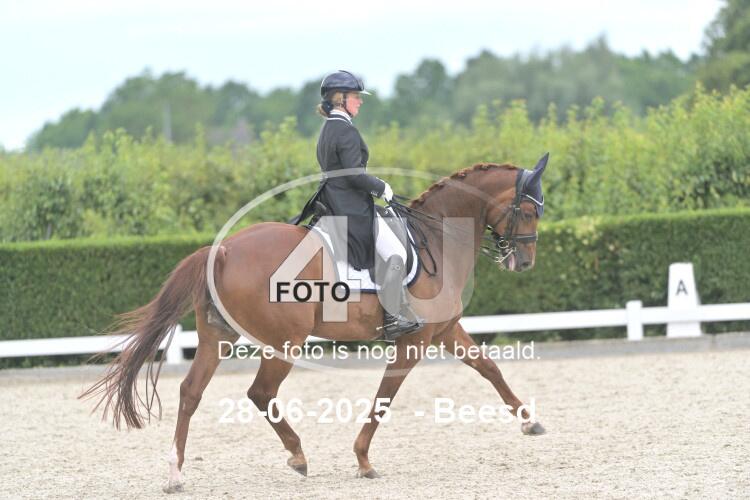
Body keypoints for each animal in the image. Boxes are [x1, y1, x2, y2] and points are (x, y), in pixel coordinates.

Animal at [80, 155, 549, 492]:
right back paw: (298, 456)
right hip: (284, 343)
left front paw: (530, 422)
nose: (525, 263)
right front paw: (363, 460)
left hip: (218, 336)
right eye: (528, 211)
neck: (439, 239)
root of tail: (225, 250)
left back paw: (176, 474)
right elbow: (384, 397)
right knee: (260, 392)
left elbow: (489, 368)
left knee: (191, 392)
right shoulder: (414, 340)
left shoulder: (446, 331)